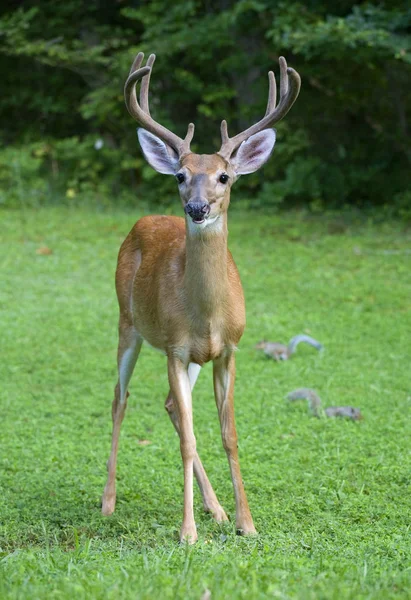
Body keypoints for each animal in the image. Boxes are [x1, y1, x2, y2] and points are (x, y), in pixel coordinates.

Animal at [101, 51, 300, 544]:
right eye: (180, 175)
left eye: (225, 176)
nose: (196, 207)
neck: (208, 314)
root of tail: (144, 220)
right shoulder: (174, 347)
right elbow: (190, 438)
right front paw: (187, 532)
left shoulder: (227, 350)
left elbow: (229, 435)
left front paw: (246, 522)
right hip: (127, 323)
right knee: (120, 400)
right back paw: (108, 502)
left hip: (190, 355)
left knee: (171, 405)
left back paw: (218, 509)